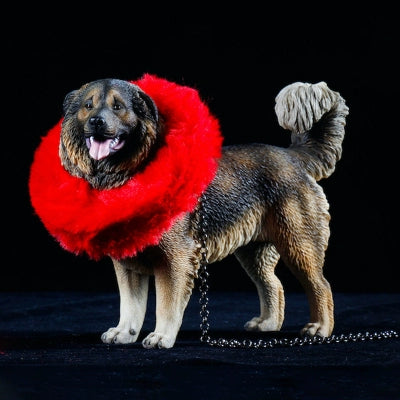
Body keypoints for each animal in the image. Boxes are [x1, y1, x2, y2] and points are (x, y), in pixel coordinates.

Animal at [55, 75, 346, 346]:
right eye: (88, 106)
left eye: (118, 107)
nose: (96, 122)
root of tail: (294, 157)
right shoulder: (128, 265)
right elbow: (130, 305)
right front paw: (124, 333)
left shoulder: (176, 259)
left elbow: (166, 305)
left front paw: (161, 337)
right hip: (254, 252)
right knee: (273, 284)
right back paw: (267, 324)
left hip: (299, 244)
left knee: (321, 285)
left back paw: (319, 328)